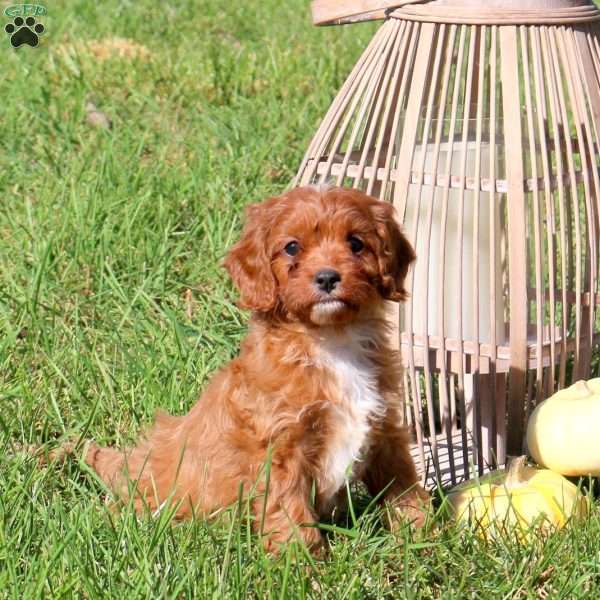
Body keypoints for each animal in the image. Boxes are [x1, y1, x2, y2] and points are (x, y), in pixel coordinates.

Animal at [86, 185, 428, 552]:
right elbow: (288, 504)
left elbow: (402, 482)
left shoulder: (386, 428)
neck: (331, 339)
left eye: (355, 243)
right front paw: (302, 558)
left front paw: (424, 535)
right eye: (291, 246)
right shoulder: (280, 445)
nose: (326, 277)